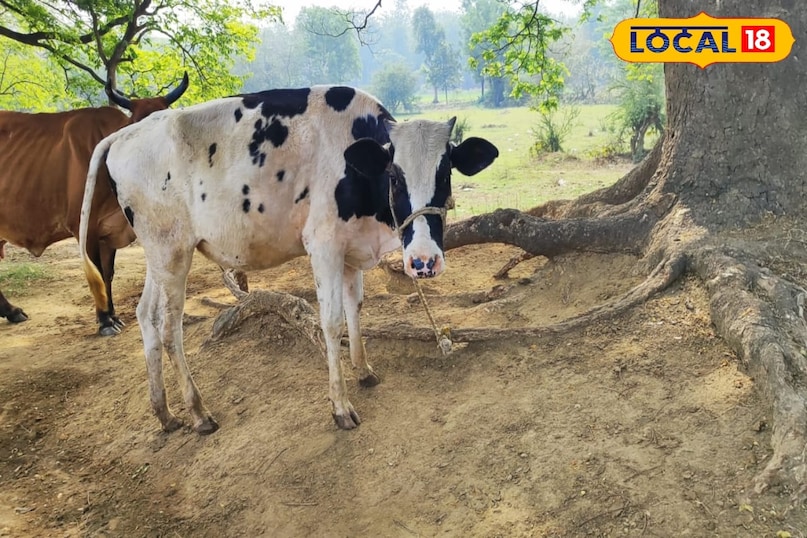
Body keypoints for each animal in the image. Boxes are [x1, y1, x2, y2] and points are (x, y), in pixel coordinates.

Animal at [0, 73, 189, 334]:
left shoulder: (108, 232)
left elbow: (108, 274)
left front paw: (113, 314)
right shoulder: (85, 228)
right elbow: (97, 273)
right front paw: (105, 320)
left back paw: (11, 311)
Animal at [79, 86, 499, 433]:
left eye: (445, 173)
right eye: (395, 177)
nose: (424, 261)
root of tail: (125, 134)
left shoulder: (350, 248)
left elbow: (356, 308)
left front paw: (363, 370)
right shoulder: (323, 244)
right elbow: (331, 321)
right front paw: (341, 406)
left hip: (159, 255)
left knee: (146, 316)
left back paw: (164, 413)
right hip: (172, 252)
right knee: (170, 330)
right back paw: (198, 413)